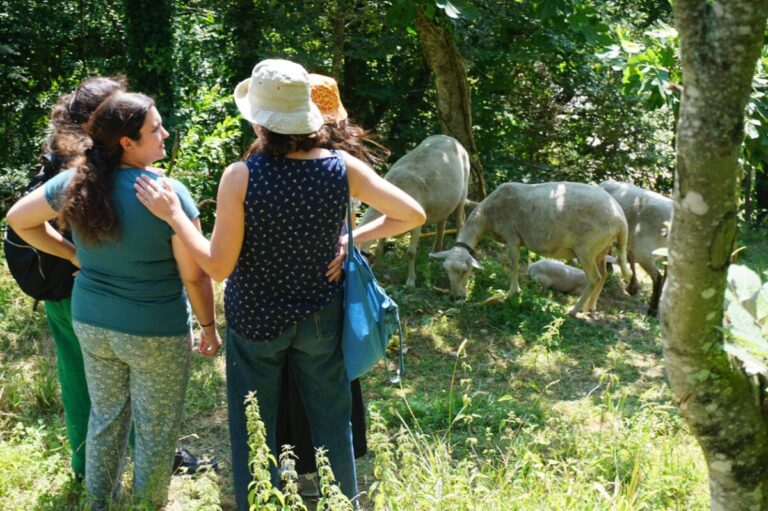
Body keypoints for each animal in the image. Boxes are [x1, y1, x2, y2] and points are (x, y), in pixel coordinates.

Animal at [428, 180, 632, 316]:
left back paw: (574, 310)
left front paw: (513, 292)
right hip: (601, 249)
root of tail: (621, 220)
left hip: (587, 249)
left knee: (595, 278)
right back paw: (590, 307)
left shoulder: (511, 237)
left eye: (465, 271)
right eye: (445, 270)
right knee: (603, 276)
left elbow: (513, 264)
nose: (456, 298)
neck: (486, 217)